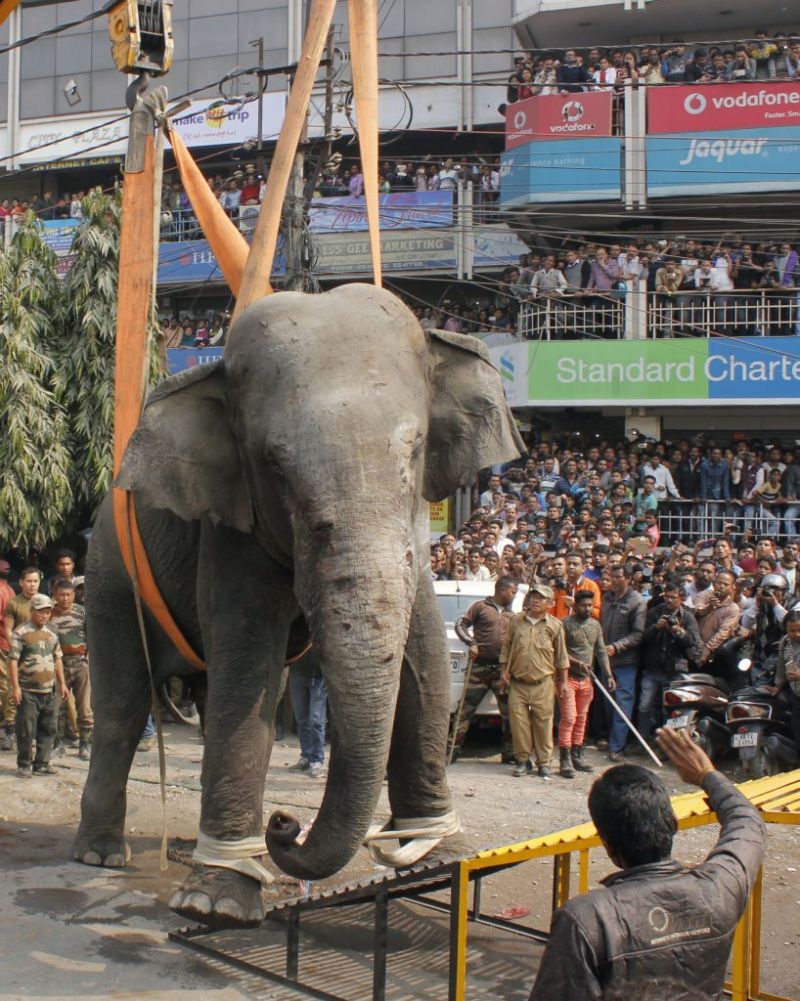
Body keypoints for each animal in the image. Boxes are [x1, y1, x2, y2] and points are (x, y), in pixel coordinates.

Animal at [73, 282, 524, 920]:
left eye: (414, 450)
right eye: (274, 466)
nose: (287, 824)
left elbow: (425, 663)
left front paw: (440, 859)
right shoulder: (229, 529)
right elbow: (246, 663)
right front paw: (215, 903)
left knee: (211, 700)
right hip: (111, 575)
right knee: (122, 705)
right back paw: (103, 855)